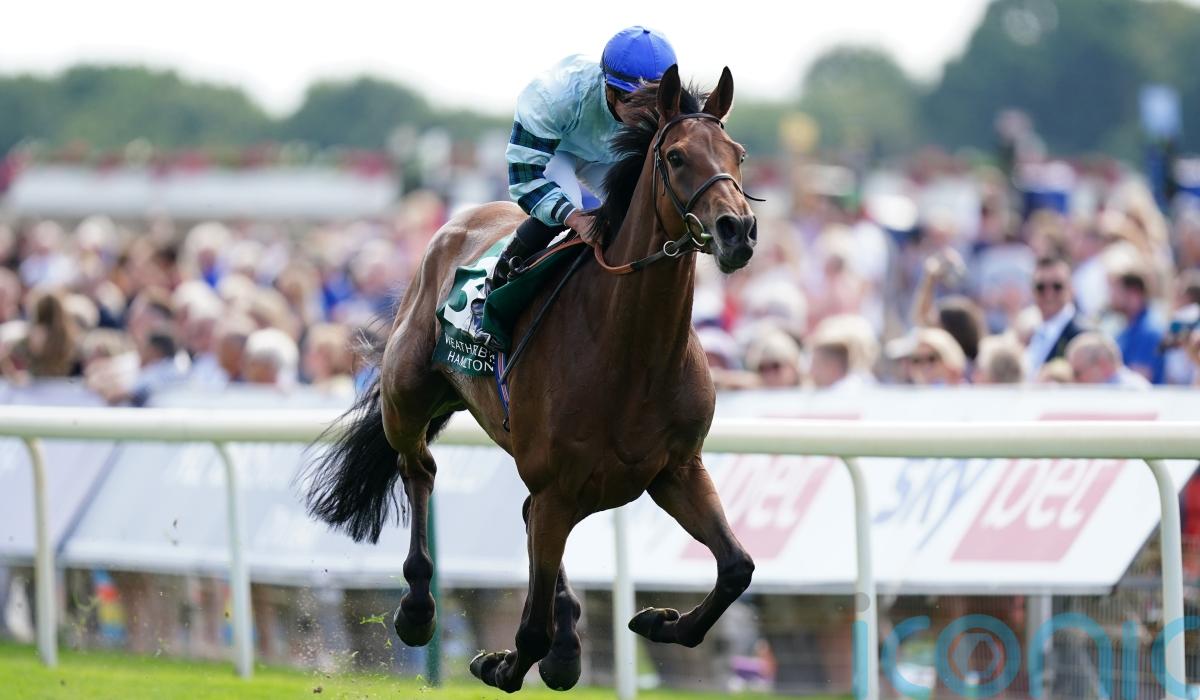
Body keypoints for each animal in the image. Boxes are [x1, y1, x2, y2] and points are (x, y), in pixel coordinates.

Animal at [305, 64, 758, 693]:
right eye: (675, 156)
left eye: (737, 154)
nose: (737, 230)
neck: (633, 353)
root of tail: (457, 221)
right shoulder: (557, 484)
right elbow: (530, 630)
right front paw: (498, 663)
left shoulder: (677, 470)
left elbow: (737, 567)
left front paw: (658, 620)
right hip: (408, 398)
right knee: (418, 469)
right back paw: (419, 609)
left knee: (523, 521)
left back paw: (567, 648)